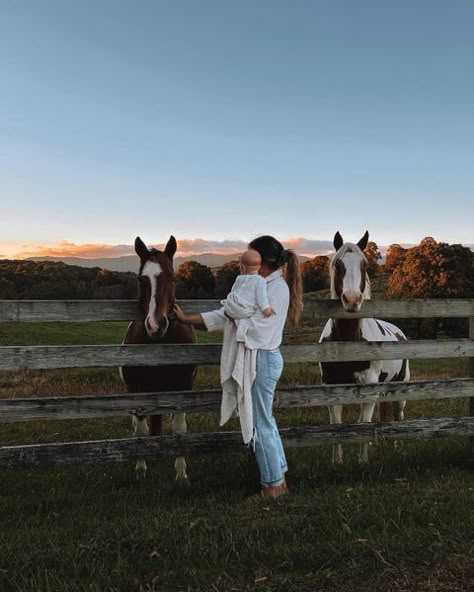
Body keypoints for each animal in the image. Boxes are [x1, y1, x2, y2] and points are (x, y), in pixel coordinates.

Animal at [122, 236, 198, 480]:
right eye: (140, 279)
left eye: (173, 278)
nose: (156, 325)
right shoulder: (138, 389)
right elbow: (140, 431)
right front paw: (140, 470)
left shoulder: (183, 387)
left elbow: (179, 429)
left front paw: (181, 475)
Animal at [320, 231, 410, 462]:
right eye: (338, 264)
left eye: (364, 265)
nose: (352, 299)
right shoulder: (330, 387)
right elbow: (336, 426)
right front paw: (337, 462)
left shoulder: (368, 387)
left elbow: (363, 425)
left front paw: (362, 462)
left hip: (400, 386)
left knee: (398, 414)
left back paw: (398, 447)